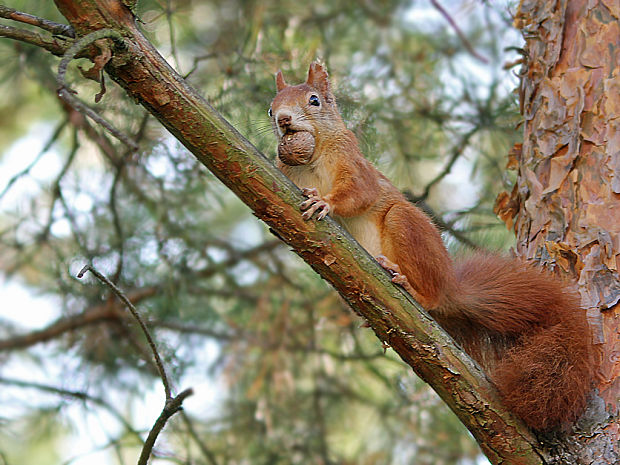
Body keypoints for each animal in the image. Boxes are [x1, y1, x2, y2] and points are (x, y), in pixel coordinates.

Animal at [268, 62, 592, 432]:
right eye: (270, 109)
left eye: (314, 100)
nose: (283, 120)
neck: (312, 156)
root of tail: (451, 287)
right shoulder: (285, 172)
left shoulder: (353, 161)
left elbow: (359, 192)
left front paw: (325, 202)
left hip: (405, 225)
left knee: (429, 291)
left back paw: (412, 286)